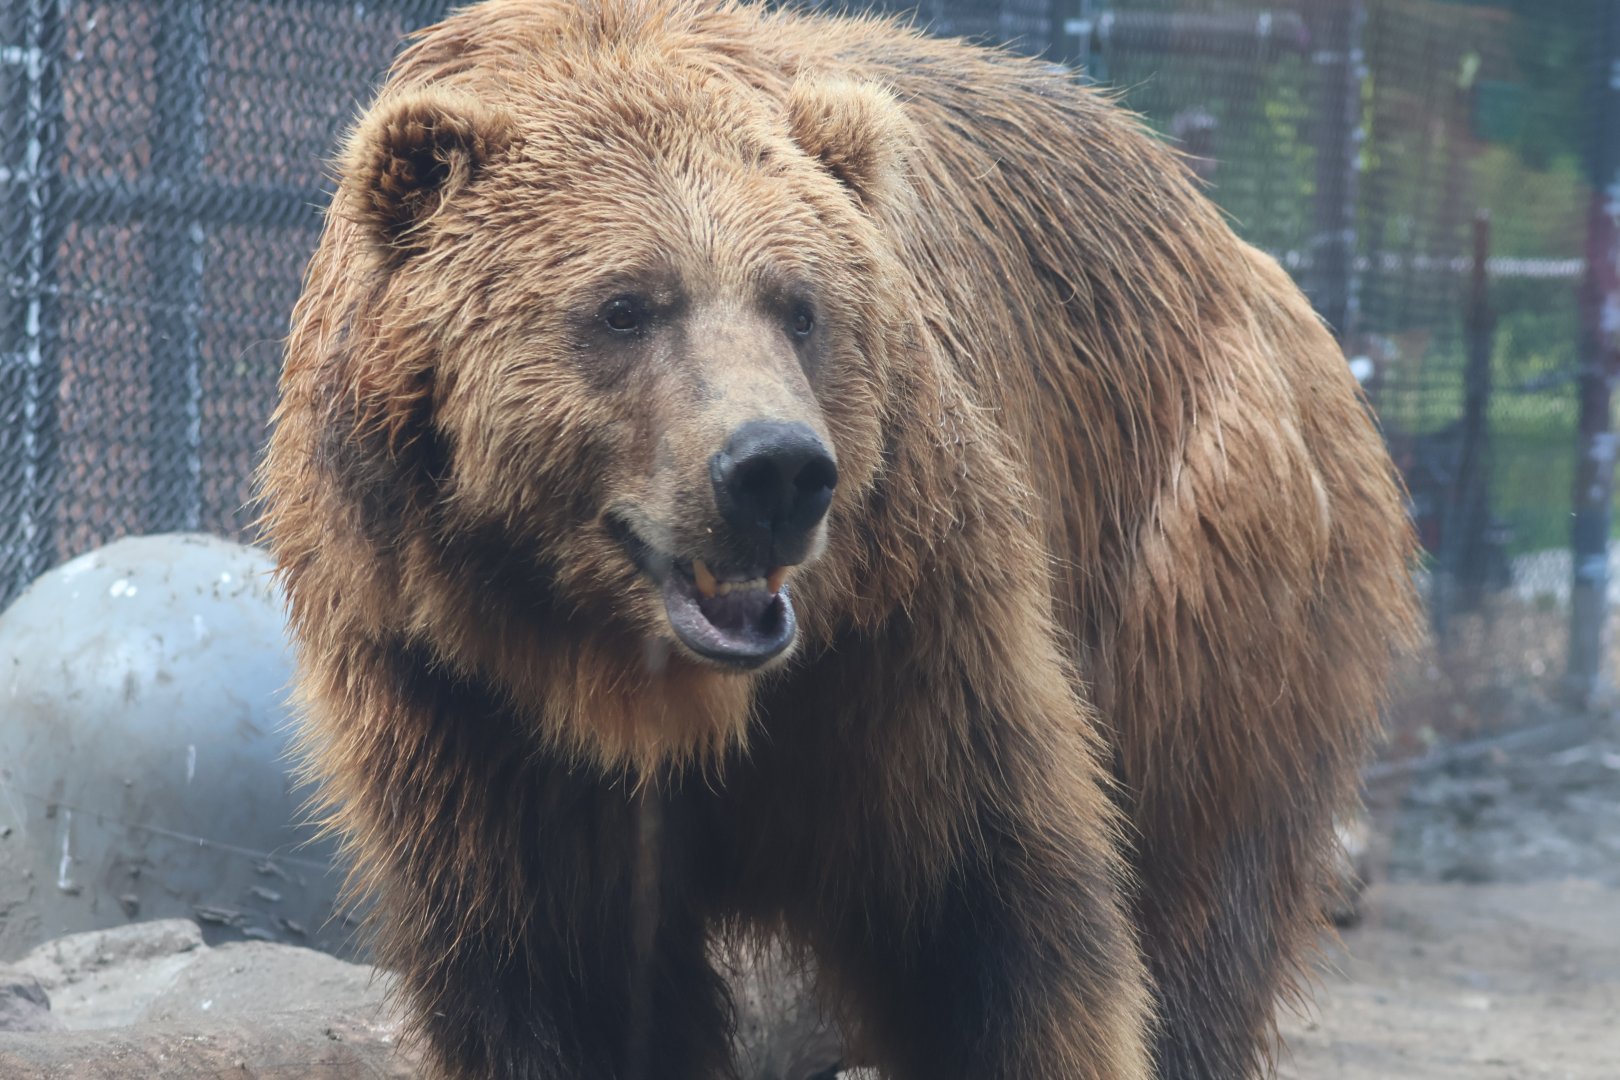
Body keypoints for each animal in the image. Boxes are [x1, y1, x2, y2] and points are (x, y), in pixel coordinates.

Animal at [258, 1, 1419, 1077]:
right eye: (625, 305)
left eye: (800, 304)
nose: (774, 470)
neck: (648, 691)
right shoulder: (460, 694)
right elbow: (555, 974)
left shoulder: (901, 640)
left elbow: (986, 924)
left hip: (1201, 557)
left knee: (1196, 892)